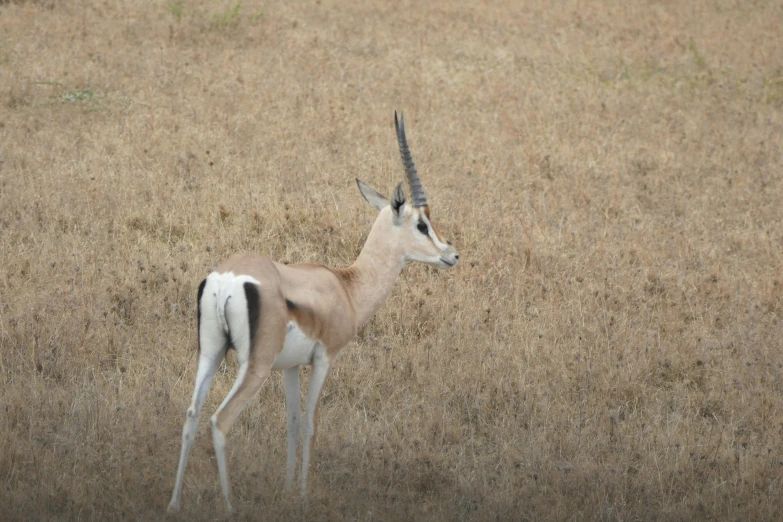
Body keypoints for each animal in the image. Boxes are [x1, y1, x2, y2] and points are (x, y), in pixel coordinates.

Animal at [167, 110, 460, 512]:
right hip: (253, 366)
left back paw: (174, 504)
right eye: (421, 223)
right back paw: (229, 507)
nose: (452, 254)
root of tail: (227, 278)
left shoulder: (289, 367)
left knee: (192, 415)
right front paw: (304, 494)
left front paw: (289, 489)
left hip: (210, 353)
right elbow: (309, 423)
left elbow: (291, 422)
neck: (346, 287)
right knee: (220, 421)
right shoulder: (324, 359)